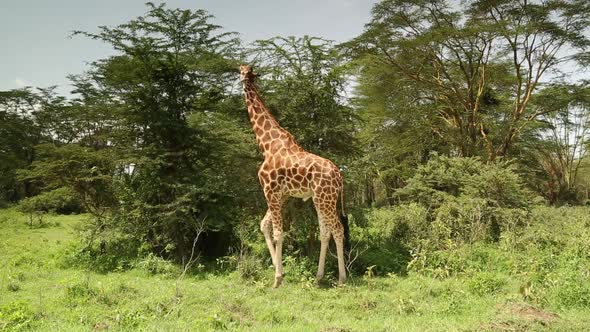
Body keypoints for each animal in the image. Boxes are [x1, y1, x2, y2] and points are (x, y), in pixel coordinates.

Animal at [240, 63, 352, 286]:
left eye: (241, 70)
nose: (240, 73)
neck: (267, 145)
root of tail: (339, 176)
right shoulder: (282, 195)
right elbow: (264, 226)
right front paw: (278, 270)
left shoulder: (270, 191)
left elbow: (277, 232)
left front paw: (277, 279)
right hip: (321, 199)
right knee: (325, 231)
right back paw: (318, 277)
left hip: (325, 199)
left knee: (337, 229)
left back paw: (342, 278)